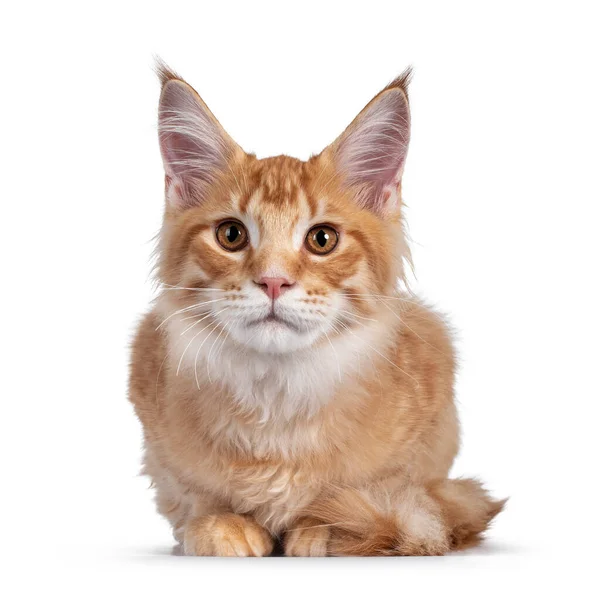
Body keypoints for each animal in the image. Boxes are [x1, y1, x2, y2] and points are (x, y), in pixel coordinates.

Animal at [129, 63, 504, 556]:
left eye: (321, 239)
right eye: (231, 235)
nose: (273, 281)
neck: (276, 398)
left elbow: (378, 492)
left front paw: (325, 527)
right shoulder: (159, 436)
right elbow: (193, 496)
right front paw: (220, 524)